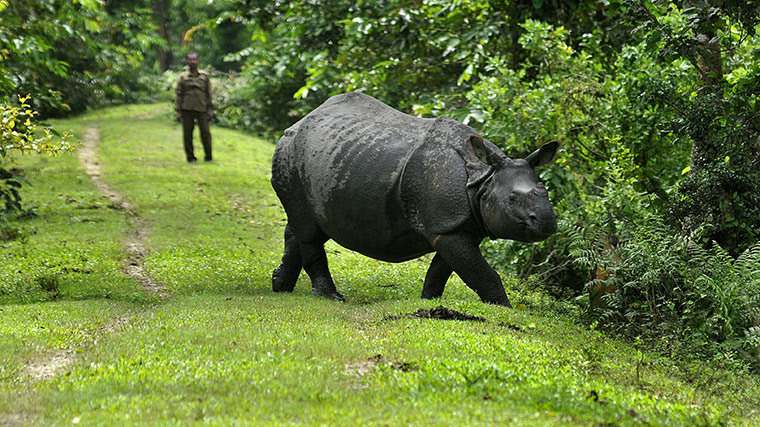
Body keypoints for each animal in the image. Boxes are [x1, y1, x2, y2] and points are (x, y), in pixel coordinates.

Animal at [270, 92, 558, 307]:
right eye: (512, 198)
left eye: (544, 190)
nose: (547, 222)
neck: (483, 179)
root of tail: (302, 120)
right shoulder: (447, 226)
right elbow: (483, 274)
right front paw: (505, 308)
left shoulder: (457, 227)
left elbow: (442, 271)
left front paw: (428, 302)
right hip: (290, 150)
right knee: (308, 229)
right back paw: (330, 297)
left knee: (305, 223)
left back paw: (280, 287)